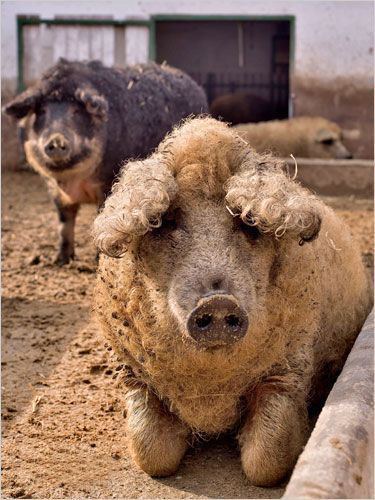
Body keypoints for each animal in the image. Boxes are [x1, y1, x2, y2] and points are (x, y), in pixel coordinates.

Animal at [3, 59, 209, 266]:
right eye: (42, 111)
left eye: (76, 111)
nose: (56, 141)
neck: (72, 180)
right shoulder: (54, 190)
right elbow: (64, 223)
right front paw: (60, 261)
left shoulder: (108, 184)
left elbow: (100, 222)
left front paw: (98, 261)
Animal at [91, 116, 374, 484]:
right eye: (166, 221)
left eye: (248, 223)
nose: (217, 302)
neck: (211, 387)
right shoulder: (132, 371)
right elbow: (151, 454)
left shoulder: (289, 369)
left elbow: (264, 460)